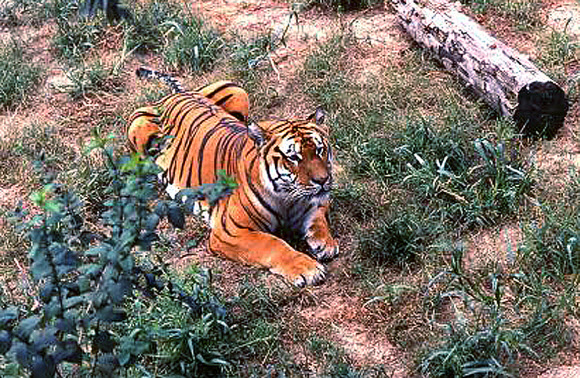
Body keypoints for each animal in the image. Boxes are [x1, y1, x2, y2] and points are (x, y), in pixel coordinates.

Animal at [124, 68, 338, 286]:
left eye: (320, 150)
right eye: (294, 157)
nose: (323, 180)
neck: (288, 199)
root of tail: (176, 95)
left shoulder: (314, 204)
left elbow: (319, 219)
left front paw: (325, 243)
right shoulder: (230, 232)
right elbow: (272, 244)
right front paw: (307, 268)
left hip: (238, 91)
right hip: (137, 127)